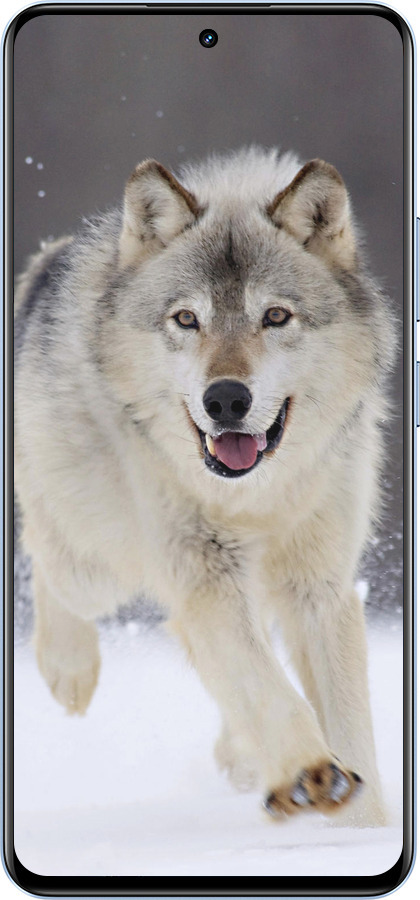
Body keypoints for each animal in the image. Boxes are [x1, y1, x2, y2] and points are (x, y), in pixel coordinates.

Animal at [14, 147, 395, 826]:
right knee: (45, 555)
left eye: (275, 316)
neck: (256, 497)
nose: (225, 400)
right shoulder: (204, 575)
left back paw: (241, 757)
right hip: (99, 565)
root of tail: (49, 260)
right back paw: (69, 671)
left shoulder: (319, 586)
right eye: (187, 319)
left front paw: (362, 826)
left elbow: (347, 721)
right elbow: (266, 686)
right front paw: (310, 773)